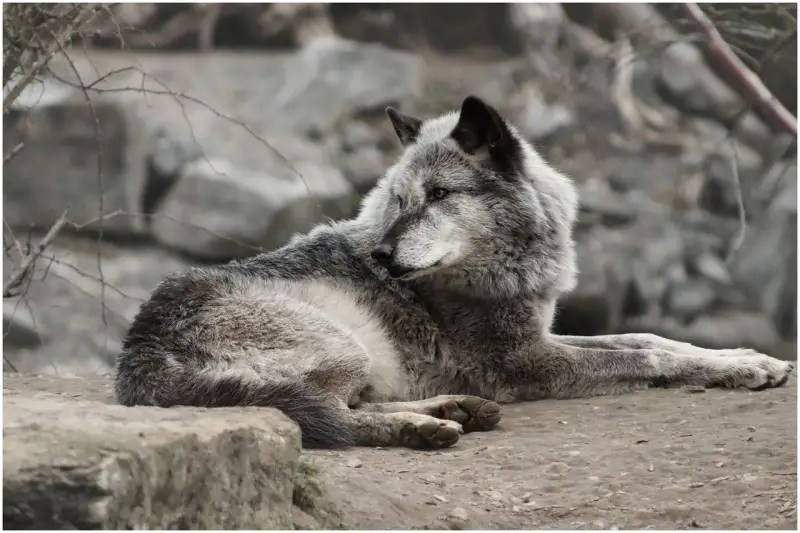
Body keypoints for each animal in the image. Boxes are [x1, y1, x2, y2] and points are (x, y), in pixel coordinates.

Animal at [115, 96, 794, 449]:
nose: (382, 259)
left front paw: (749, 360)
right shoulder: (522, 361)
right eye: (398, 201)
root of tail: (138, 353)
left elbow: (650, 336)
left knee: (341, 405)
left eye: (439, 195)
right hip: (342, 344)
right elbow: (648, 355)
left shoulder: (537, 334)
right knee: (326, 417)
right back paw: (426, 427)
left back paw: (455, 409)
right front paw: (739, 367)